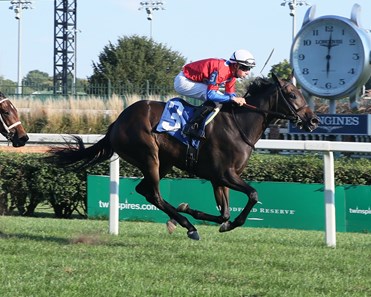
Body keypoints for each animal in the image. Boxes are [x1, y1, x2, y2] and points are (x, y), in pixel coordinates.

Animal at [48, 73, 318, 239]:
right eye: (292, 95)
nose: (313, 120)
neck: (239, 124)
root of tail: (116, 122)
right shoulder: (225, 174)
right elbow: (252, 195)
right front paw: (206, 218)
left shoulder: (219, 178)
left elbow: (224, 213)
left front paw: (201, 213)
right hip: (150, 156)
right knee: (154, 194)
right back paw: (188, 226)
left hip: (164, 162)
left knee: (145, 190)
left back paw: (181, 220)